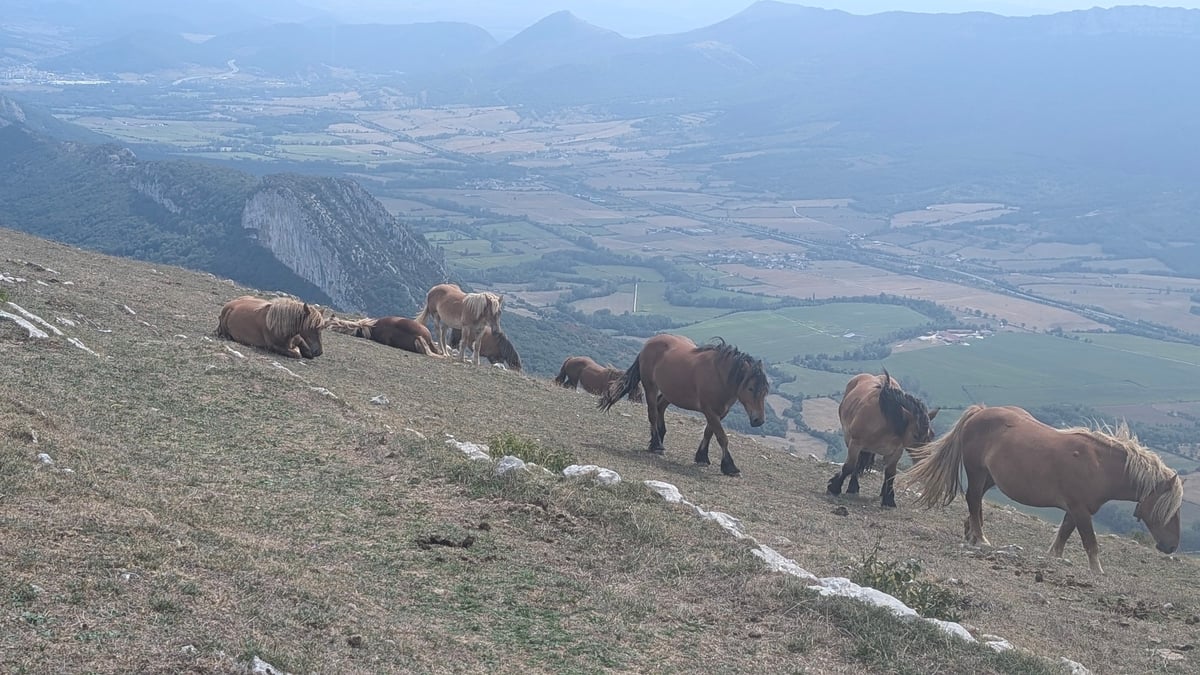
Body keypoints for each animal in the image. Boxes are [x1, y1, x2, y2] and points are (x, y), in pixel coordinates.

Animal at [599, 335, 768, 477]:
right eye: (750, 388)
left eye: (765, 390)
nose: (758, 420)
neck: (720, 376)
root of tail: (649, 343)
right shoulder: (710, 411)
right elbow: (721, 437)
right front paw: (730, 467)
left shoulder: (720, 412)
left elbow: (709, 432)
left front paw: (702, 457)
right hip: (651, 387)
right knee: (653, 413)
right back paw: (657, 444)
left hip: (671, 392)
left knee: (660, 407)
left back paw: (659, 437)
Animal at [828, 369, 939, 508]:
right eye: (915, 435)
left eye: (932, 435)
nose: (924, 459)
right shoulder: (855, 444)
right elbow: (849, 466)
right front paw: (834, 487)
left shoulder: (895, 452)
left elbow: (890, 474)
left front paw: (889, 500)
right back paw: (852, 487)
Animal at [900, 405, 1182, 574]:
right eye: (1168, 510)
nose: (1171, 547)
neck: (1099, 465)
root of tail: (980, 411)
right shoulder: (1081, 510)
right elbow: (1090, 543)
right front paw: (1097, 572)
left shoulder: (1075, 510)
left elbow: (1062, 538)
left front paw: (1054, 560)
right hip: (977, 471)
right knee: (973, 498)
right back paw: (980, 538)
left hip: (991, 477)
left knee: (976, 501)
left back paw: (971, 533)